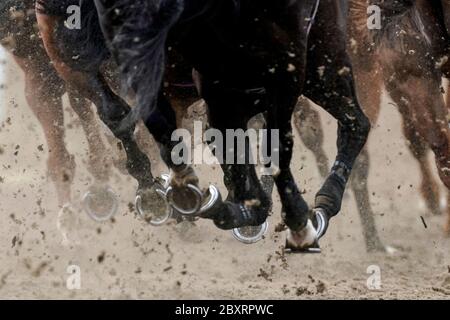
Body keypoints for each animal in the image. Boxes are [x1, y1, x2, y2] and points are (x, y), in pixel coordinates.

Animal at [88, 0, 370, 251]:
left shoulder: (290, 66)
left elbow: (275, 149)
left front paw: (299, 220)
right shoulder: (217, 87)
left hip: (321, 61)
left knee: (356, 124)